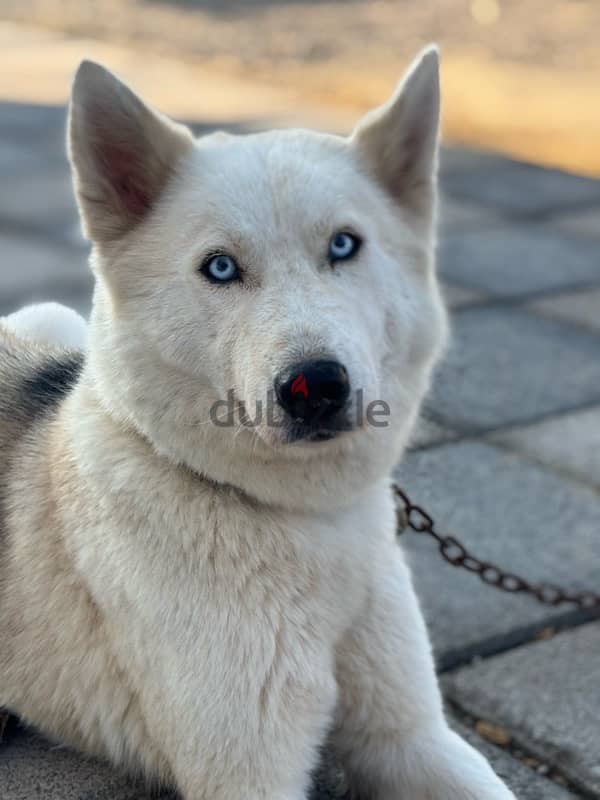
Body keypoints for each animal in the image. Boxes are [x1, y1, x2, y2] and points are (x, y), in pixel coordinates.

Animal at [0, 50, 516, 800]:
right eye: (219, 266)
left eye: (344, 245)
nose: (317, 387)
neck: (300, 521)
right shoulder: (249, 775)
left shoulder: (414, 736)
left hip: (52, 321)